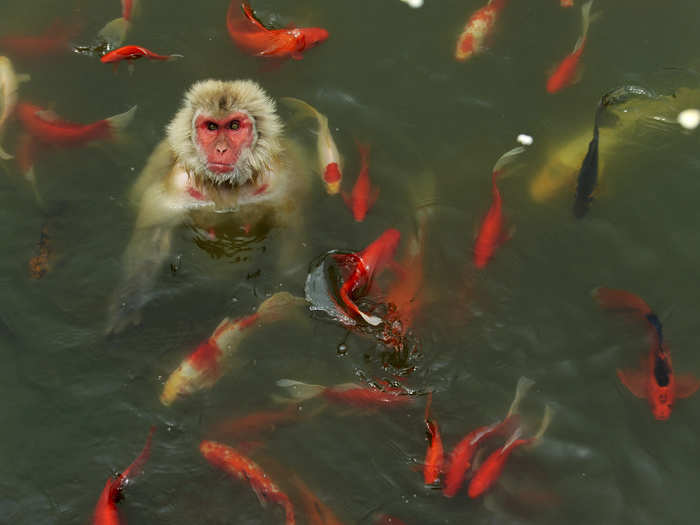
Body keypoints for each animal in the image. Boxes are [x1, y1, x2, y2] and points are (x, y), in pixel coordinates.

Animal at [106, 78, 308, 332]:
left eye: (234, 126)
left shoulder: (281, 185)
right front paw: (128, 304)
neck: (226, 187)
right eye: (211, 127)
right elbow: (151, 242)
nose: (221, 149)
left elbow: (292, 239)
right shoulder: (175, 189)